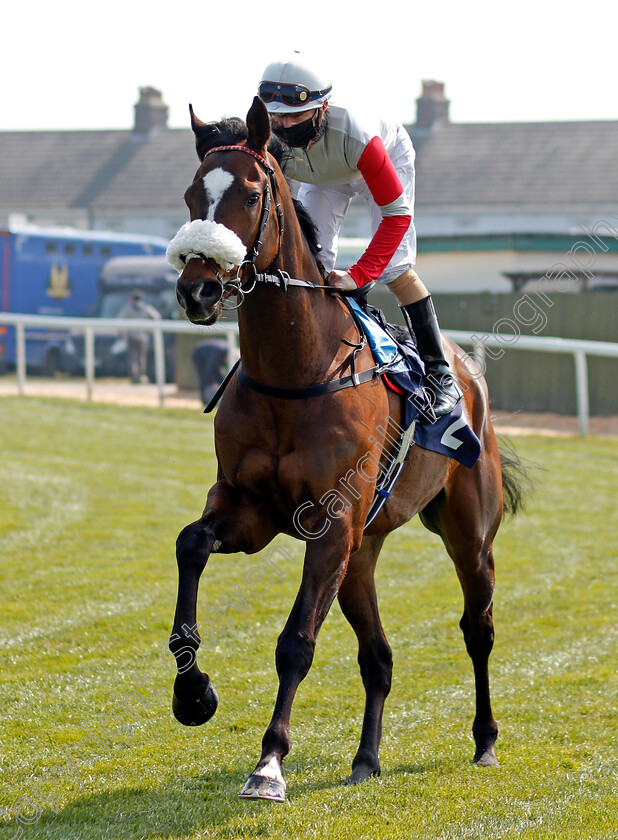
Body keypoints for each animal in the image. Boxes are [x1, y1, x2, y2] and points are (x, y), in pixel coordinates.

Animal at [166, 97, 524, 800]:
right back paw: (366, 758)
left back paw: (487, 740)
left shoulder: (330, 523)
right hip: (364, 552)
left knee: (479, 629)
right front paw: (193, 693)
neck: (295, 371)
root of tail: (470, 371)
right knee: (378, 655)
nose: (197, 290)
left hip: (467, 534)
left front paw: (269, 762)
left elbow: (296, 641)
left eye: (250, 194)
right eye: (193, 194)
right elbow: (190, 543)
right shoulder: (250, 508)